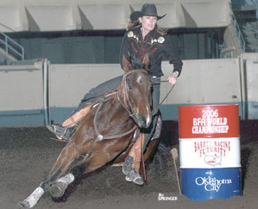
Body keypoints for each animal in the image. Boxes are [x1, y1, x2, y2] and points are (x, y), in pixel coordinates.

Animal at [18, 56, 161, 208]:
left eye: (150, 87)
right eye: (130, 86)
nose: (145, 119)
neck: (107, 123)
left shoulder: (101, 156)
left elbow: (76, 169)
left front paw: (60, 185)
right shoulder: (72, 147)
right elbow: (52, 176)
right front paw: (29, 200)